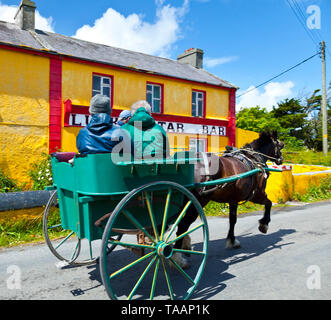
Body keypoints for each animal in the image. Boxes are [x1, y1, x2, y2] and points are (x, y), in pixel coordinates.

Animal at [172, 130, 284, 268]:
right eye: (280, 145)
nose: (281, 159)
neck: (254, 159)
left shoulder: (233, 199)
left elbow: (232, 220)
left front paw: (232, 240)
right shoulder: (257, 195)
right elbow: (269, 204)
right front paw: (264, 225)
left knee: (179, 221)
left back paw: (184, 244)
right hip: (199, 200)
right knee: (183, 223)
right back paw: (177, 257)